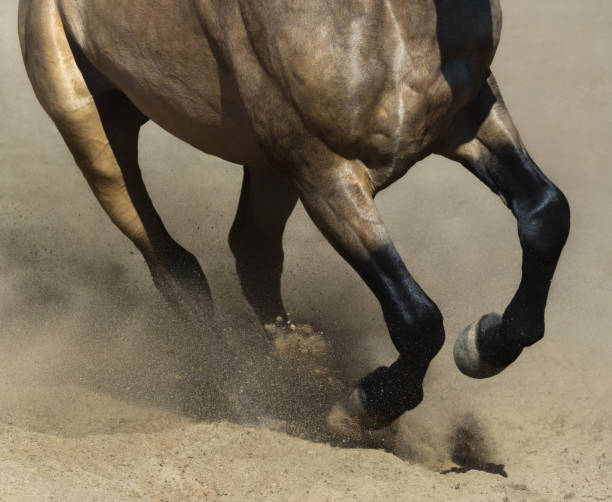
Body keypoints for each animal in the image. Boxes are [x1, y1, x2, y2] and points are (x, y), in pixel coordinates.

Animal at [17, 0, 568, 432]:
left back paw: (294, 360)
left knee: (252, 251)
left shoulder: (469, 114)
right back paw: (252, 403)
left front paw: (484, 344)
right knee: (175, 269)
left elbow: (546, 215)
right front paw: (363, 405)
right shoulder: (323, 172)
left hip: (267, 166)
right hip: (94, 131)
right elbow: (417, 318)